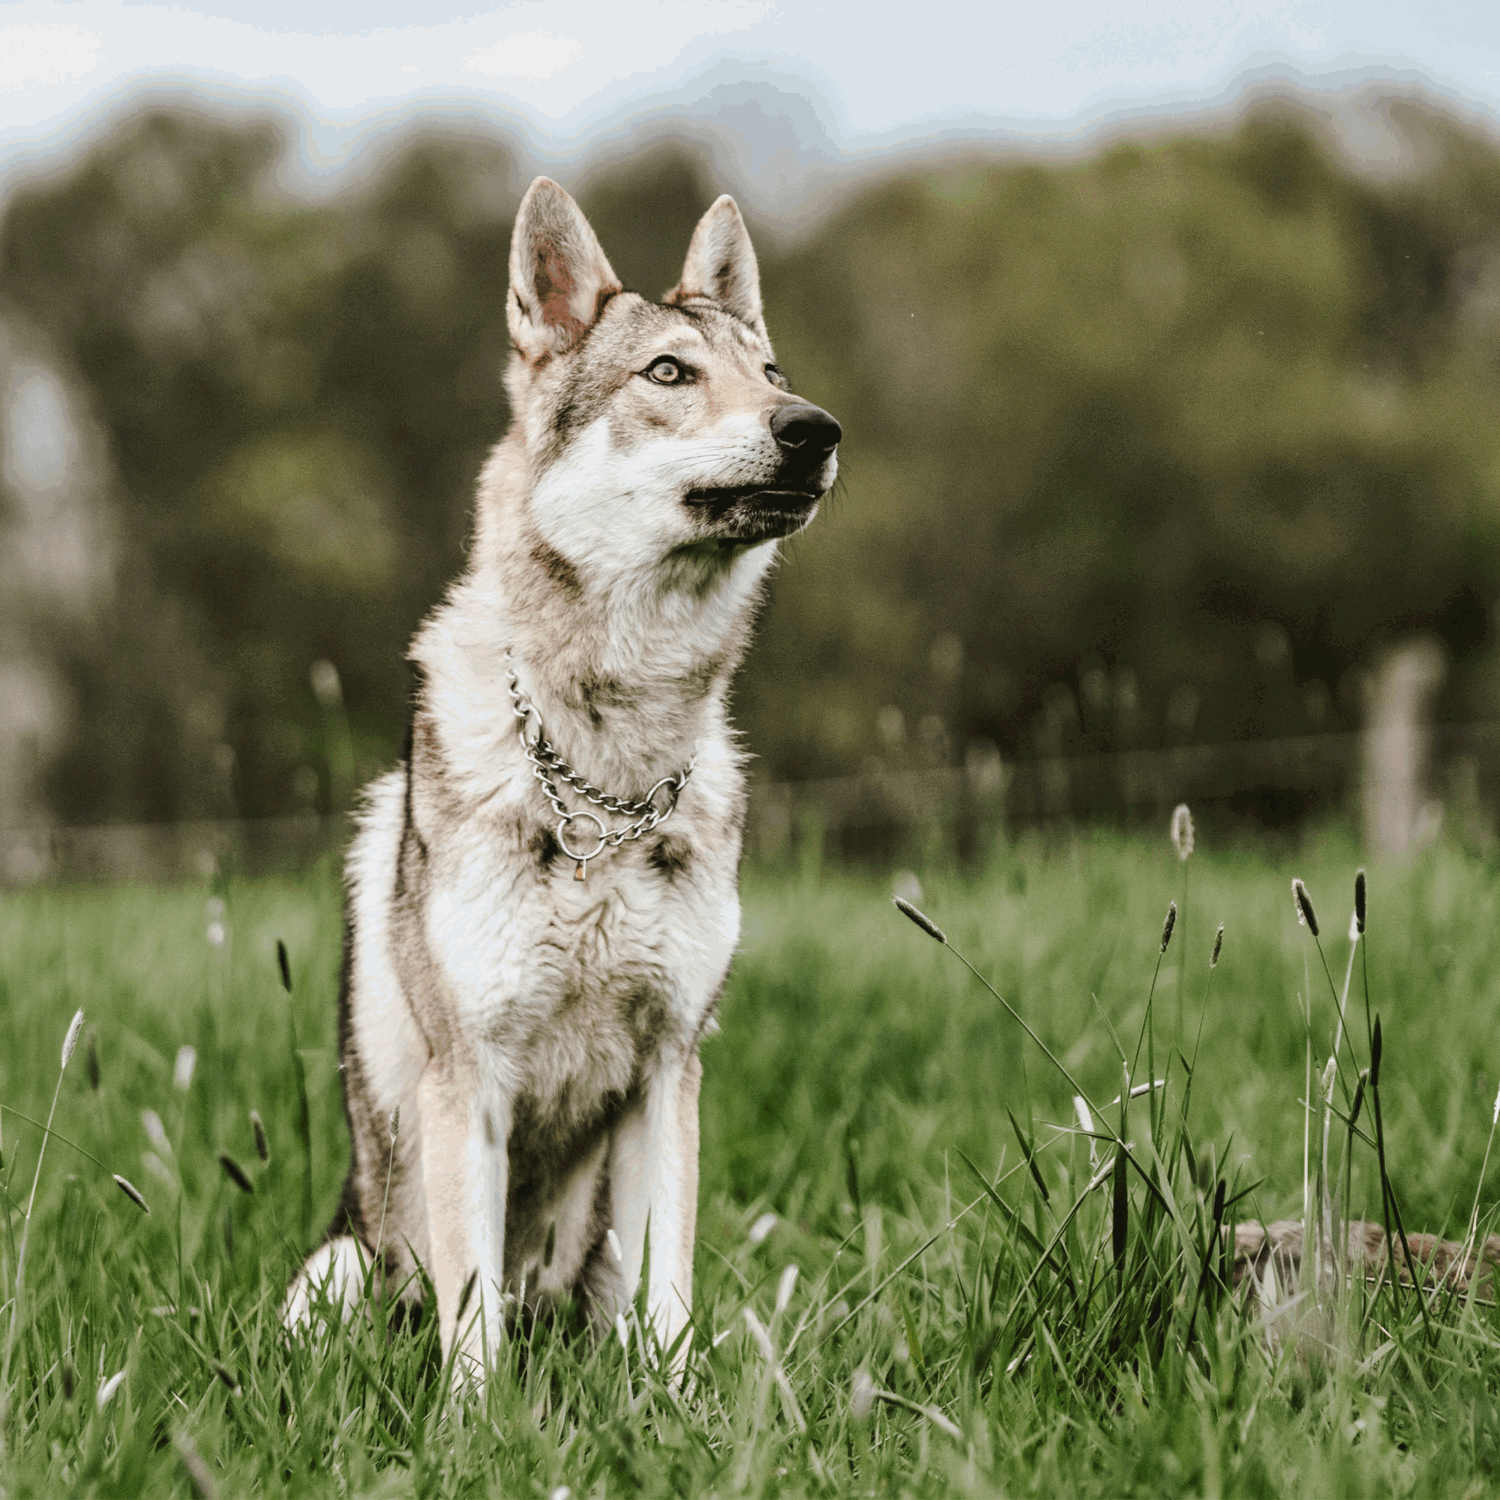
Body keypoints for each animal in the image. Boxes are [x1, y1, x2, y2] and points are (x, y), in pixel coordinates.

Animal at [282, 175, 846, 1380]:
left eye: (773, 375)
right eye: (669, 374)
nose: (816, 429)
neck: (605, 777)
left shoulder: (670, 1072)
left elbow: (667, 1306)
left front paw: (677, 1408)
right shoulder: (472, 1082)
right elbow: (476, 1325)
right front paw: (479, 1420)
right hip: (345, 1269)